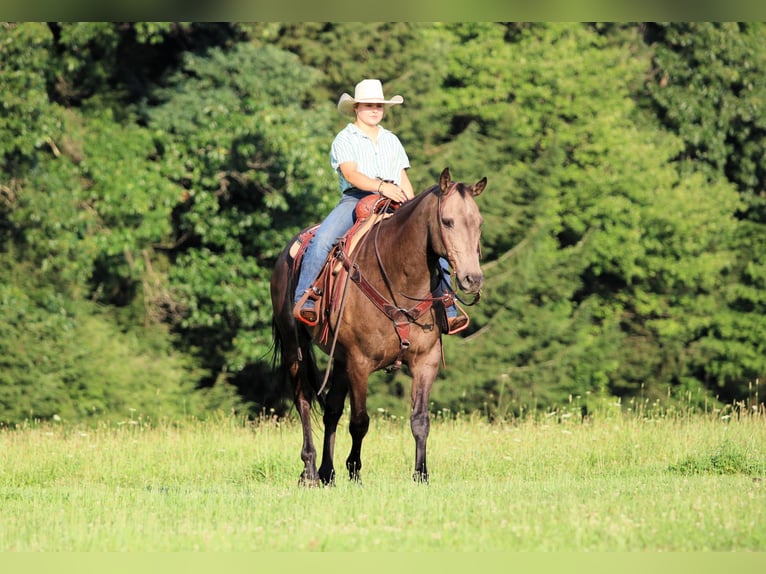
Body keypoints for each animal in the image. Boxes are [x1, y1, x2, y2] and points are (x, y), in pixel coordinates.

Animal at [269, 167, 486, 485]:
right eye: (447, 221)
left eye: (478, 223)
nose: (473, 279)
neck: (399, 278)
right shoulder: (360, 362)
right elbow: (360, 421)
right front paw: (355, 471)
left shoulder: (426, 360)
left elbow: (420, 420)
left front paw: (421, 475)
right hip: (294, 347)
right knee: (304, 400)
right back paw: (309, 470)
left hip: (339, 358)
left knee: (331, 409)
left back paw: (326, 472)